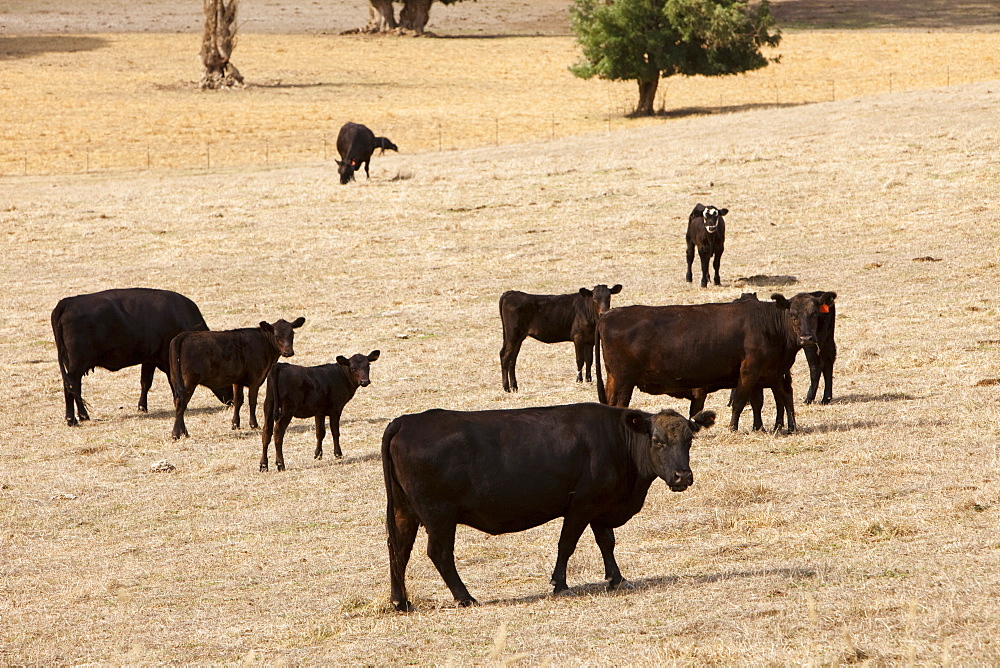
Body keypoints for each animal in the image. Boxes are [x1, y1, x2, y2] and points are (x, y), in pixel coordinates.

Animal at [50, 288, 232, 426]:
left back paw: (79, 417)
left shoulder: (149, 359)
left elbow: (145, 382)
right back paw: (74, 418)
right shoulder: (166, 360)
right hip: (77, 365)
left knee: (73, 387)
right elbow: (172, 382)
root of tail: (66, 302)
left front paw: (142, 407)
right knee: (71, 386)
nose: (231, 401)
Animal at [168, 318, 304, 440]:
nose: (289, 352)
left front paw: (235, 424)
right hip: (189, 382)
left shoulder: (237, 381)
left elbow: (238, 401)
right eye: (276, 336)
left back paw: (184, 432)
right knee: (181, 404)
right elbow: (252, 401)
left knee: (178, 403)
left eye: (292, 334)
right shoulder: (255, 379)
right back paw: (176, 434)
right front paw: (253, 424)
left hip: (176, 381)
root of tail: (183, 335)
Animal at [378, 402, 716, 612]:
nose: (682, 476)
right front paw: (560, 584)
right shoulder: (581, 504)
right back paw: (465, 597)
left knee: (398, 550)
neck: (617, 440)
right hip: (439, 516)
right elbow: (567, 544)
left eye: (689, 439)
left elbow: (606, 542)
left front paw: (616, 578)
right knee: (439, 553)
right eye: (657, 441)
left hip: (405, 511)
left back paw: (400, 602)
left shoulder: (600, 506)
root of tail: (406, 422)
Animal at [592, 292, 836, 434]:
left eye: (815, 314)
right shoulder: (750, 370)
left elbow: (768, 400)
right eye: (793, 314)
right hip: (624, 379)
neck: (767, 324)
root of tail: (608, 315)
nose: (807, 338)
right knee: (619, 404)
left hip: (615, 379)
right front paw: (733, 428)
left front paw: (763, 428)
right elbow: (740, 401)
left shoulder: (769, 373)